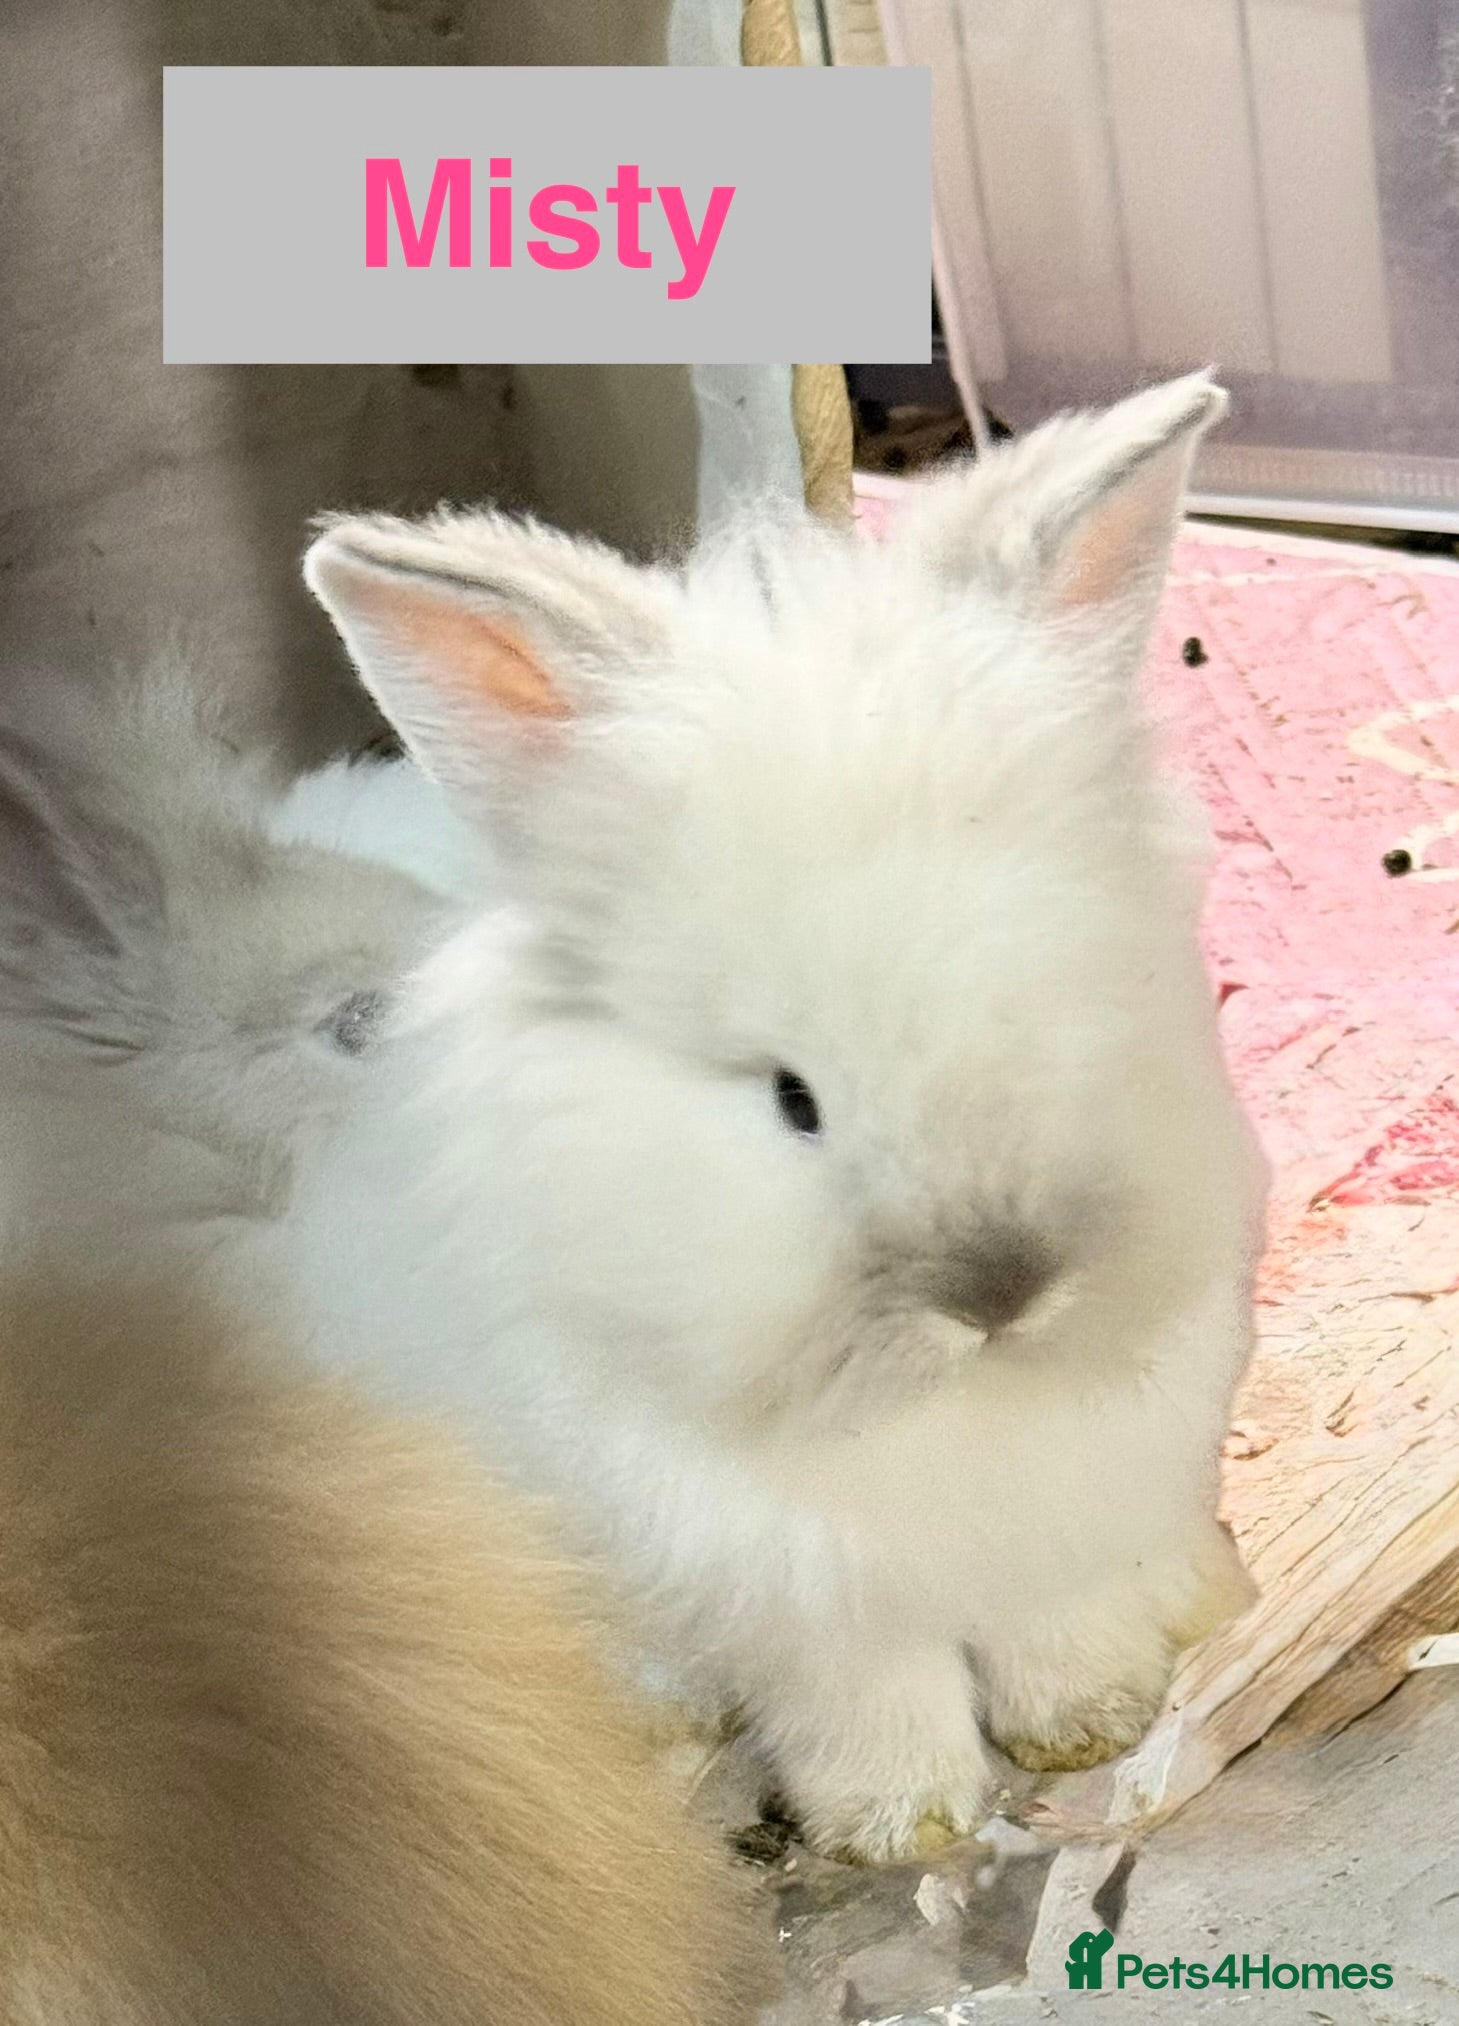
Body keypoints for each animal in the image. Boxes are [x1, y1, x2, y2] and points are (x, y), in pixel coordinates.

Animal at [273, 373, 1269, 1865]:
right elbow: (870, 1701)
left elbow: (1057, 1630)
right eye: (791, 1097)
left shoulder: (1073, 1519)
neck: (942, 1401)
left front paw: (1087, 1726)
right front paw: (902, 1826)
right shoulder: (799, 1605)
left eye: (1074, 995)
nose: (998, 1288)